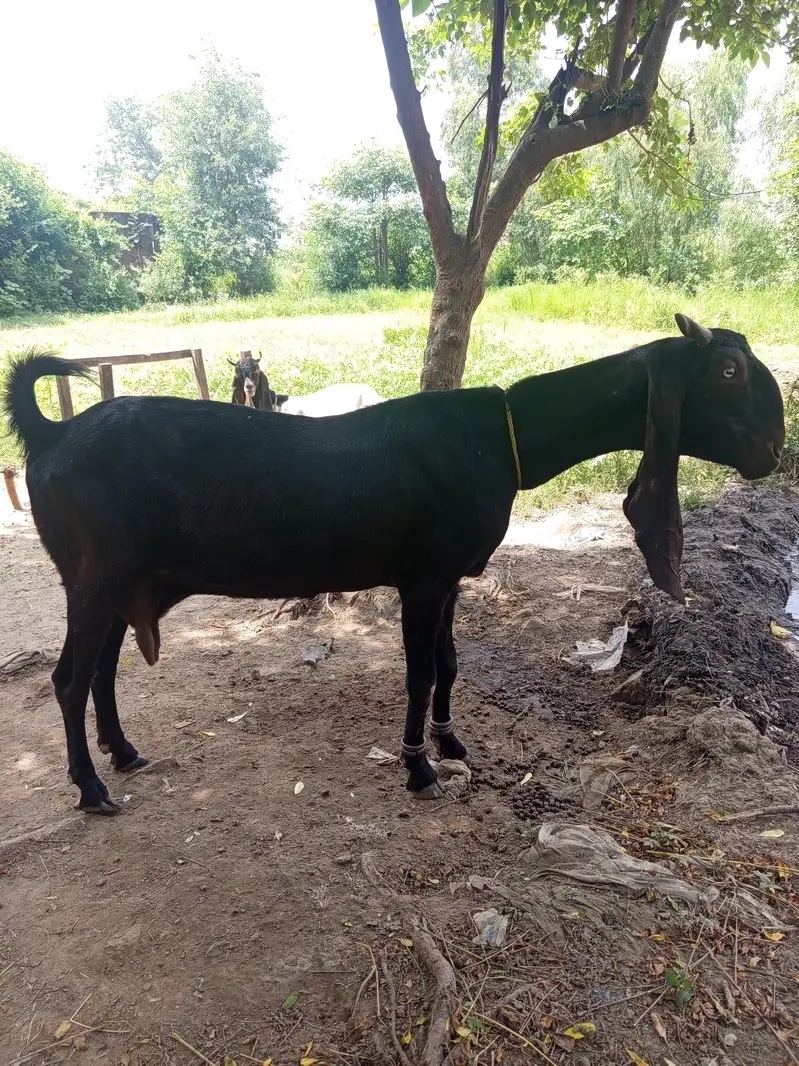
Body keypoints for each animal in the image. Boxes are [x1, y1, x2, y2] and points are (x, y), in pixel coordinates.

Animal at [3, 315, 784, 815]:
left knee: (101, 670)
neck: (499, 438)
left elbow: (449, 663)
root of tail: (51, 435)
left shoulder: (450, 577)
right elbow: (417, 671)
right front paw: (417, 767)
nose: (774, 449)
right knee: (68, 678)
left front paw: (450, 739)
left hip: (120, 580)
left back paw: (123, 752)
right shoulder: (422, 577)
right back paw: (92, 790)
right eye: (727, 369)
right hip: (95, 575)